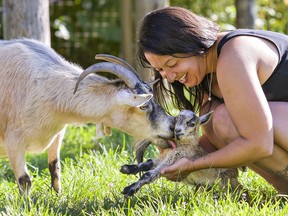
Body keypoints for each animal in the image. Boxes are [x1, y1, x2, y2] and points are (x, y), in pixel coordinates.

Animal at [0, 38, 176, 194]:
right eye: (143, 106)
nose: (172, 125)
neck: (42, 84)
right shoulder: (13, 141)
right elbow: (25, 180)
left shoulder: (57, 134)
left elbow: (54, 168)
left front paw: (59, 198)